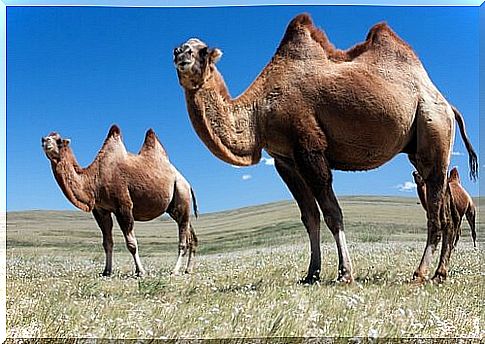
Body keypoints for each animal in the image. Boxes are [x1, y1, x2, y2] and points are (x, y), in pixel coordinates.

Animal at [42, 125, 198, 276]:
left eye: (59, 140)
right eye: (48, 137)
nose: (44, 140)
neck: (94, 180)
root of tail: (188, 184)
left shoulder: (123, 206)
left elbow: (132, 244)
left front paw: (140, 271)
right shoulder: (101, 210)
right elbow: (107, 243)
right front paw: (107, 271)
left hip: (181, 193)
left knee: (183, 239)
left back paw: (175, 270)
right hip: (174, 208)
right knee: (191, 236)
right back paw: (188, 269)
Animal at [173, 12, 476, 284]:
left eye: (202, 51)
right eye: (184, 47)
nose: (179, 53)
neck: (259, 111)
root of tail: (448, 105)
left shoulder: (309, 148)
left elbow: (332, 213)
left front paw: (345, 273)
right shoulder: (285, 160)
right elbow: (310, 217)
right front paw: (311, 274)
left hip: (433, 127)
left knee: (436, 212)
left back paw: (421, 273)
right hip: (421, 148)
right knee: (446, 215)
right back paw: (440, 274)